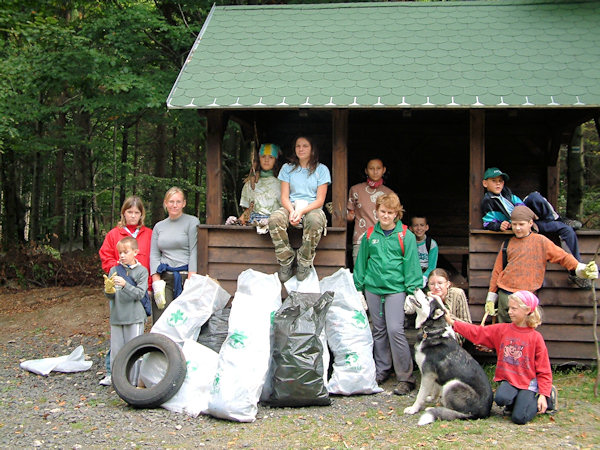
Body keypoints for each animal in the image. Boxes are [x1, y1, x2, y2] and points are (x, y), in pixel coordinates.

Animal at [404, 292, 492, 426]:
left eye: (427, 298)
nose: (417, 288)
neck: (431, 331)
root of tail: (481, 413)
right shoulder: (434, 375)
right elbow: (435, 390)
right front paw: (431, 398)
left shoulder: (428, 374)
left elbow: (420, 395)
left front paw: (413, 409)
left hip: (452, 384)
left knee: (454, 410)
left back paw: (434, 409)